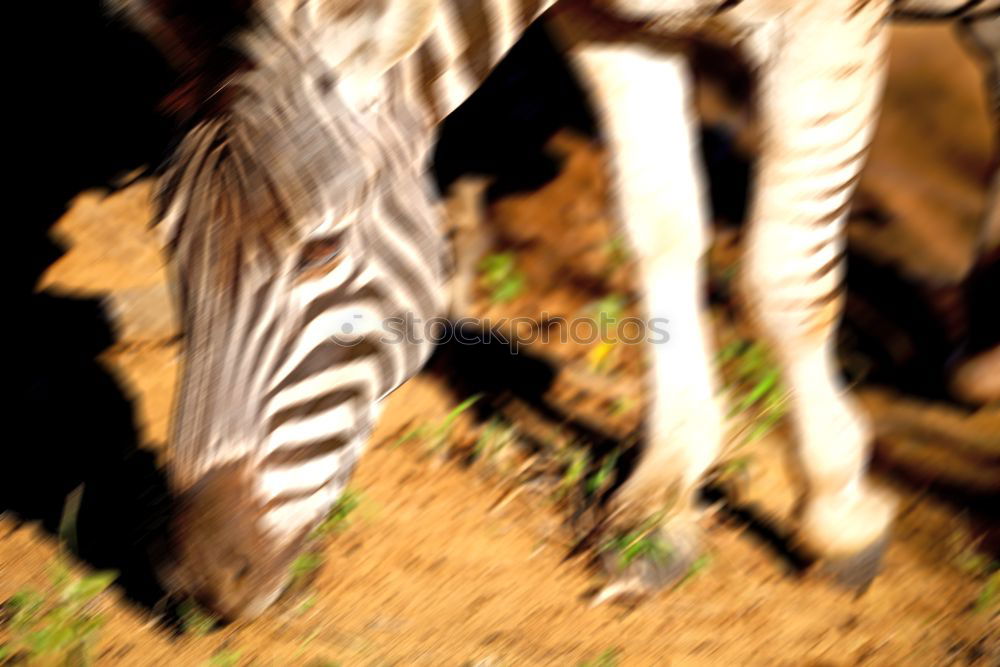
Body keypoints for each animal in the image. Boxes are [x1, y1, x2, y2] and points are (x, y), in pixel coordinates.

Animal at [113, 0, 1000, 620]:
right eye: (167, 244)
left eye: (322, 252)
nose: (197, 578)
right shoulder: (613, 28)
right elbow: (658, 230)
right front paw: (662, 499)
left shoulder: (829, 28)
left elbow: (781, 281)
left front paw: (838, 511)